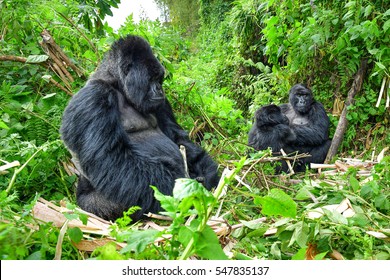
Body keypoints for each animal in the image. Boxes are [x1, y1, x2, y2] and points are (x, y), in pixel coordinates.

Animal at [60, 35, 219, 222]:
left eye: (159, 79)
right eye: (152, 78)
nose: (160, 89)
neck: (117, 84)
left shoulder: (161, 102)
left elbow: (178, 137)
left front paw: (207, 171)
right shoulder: (93, 97)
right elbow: (114, 160)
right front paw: (183, 190)